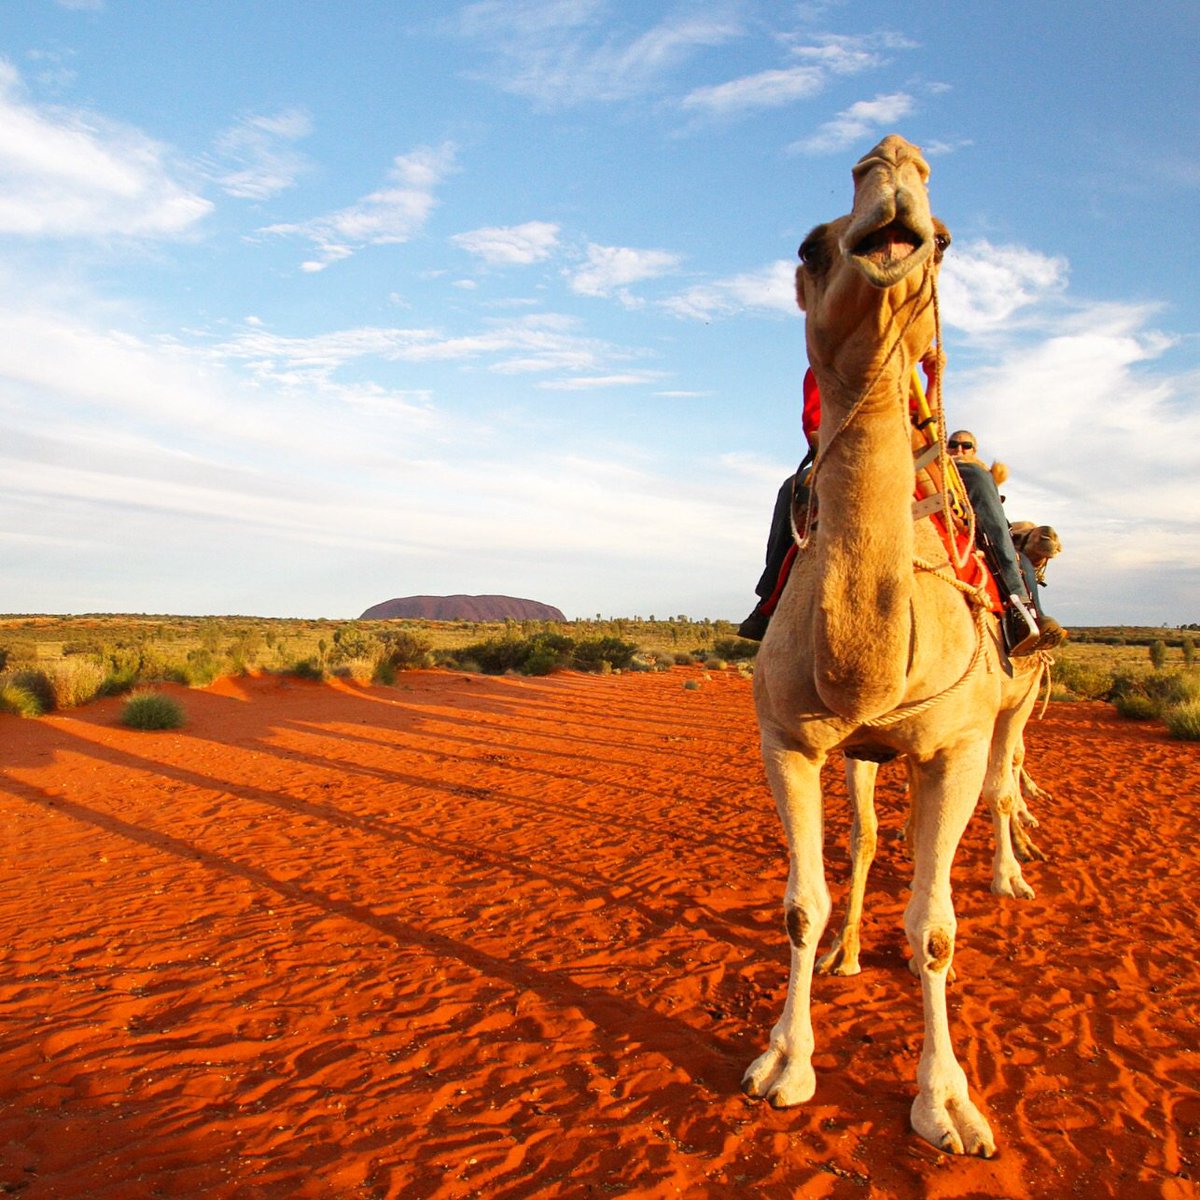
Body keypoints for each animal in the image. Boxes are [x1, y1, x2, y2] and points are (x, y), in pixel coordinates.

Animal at [741, 134, 1046, 1157]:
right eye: (808, 244)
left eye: (945, 239)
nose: (893, 158)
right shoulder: (790, 739)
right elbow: (802, 903)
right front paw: (785, 1062)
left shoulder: (950, 742)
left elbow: (937, 931)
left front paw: (947, 1106)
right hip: (866, 750)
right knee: (871, 837)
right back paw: (848, 955)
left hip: (1011, 702)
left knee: (1002, 785)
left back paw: (1008, 878)